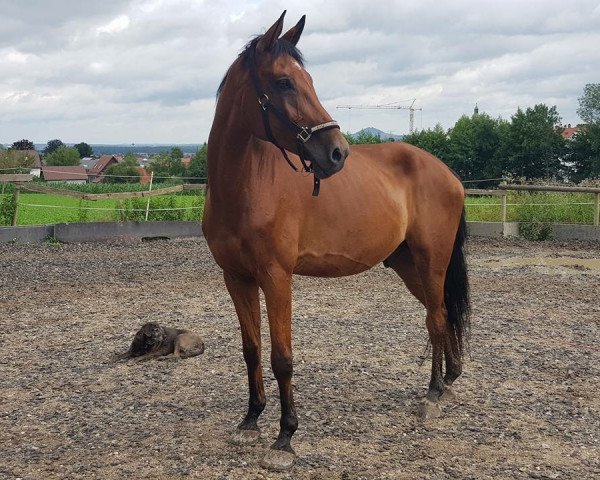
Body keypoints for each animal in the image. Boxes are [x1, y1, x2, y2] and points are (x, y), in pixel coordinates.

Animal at [204, 11, 472, 472]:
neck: (243, 186)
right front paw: (250, 421)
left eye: (307, 79)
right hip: (408, 266)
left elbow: (282, 358)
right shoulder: (236, 278)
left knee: (437, 319)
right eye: (283, 82)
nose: (336, 153)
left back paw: (434, 396)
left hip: (432, 261)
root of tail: (448, 174)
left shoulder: (277, 278)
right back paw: (448, 382)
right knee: (439, 316)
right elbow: (251, 349)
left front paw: (285, 438)